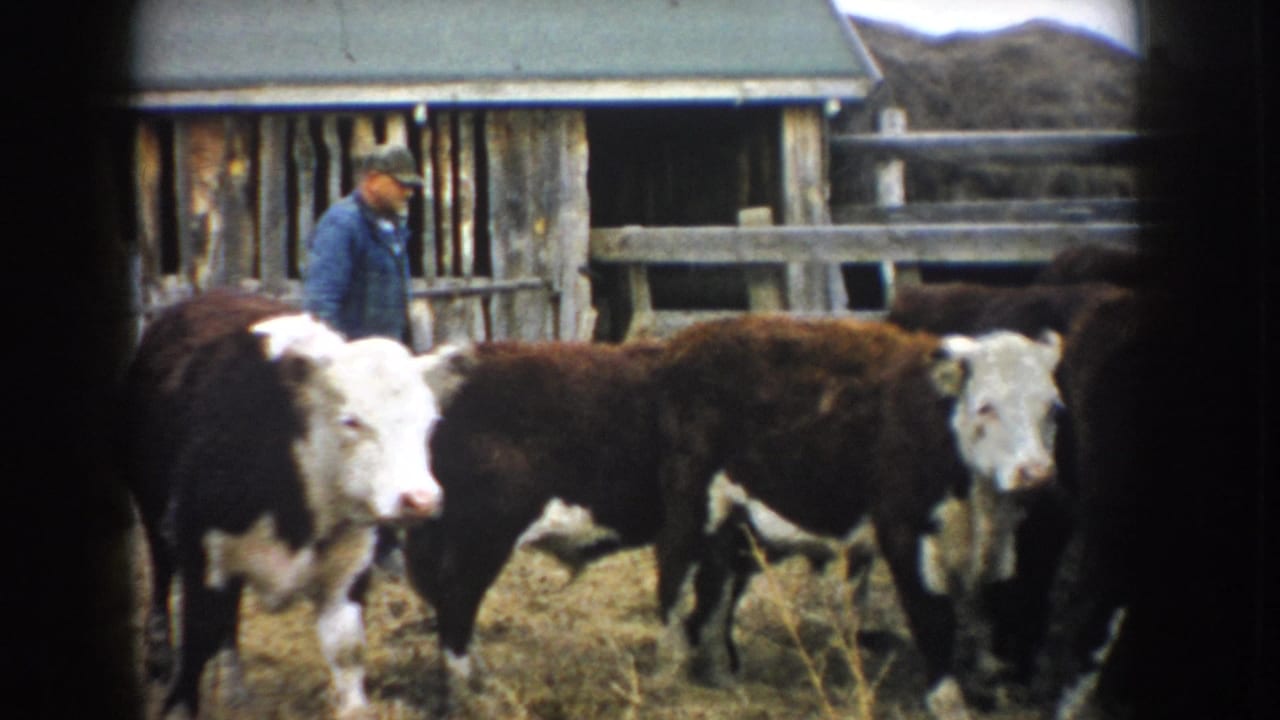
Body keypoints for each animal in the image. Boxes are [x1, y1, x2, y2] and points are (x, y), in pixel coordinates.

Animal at [122, 290, 457, 720]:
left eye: (431, 423)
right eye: (351, 421)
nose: (420, 499)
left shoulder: (349, 568)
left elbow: (346, 649)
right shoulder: (203, 558)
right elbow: (195, 648)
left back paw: (234, 688)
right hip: (153, 511)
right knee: (163, 577)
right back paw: (160, 657)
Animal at [650, 314, 1064, 720]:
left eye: (1053, 408)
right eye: (986, 407)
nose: (1036, 473)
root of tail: (689, 339)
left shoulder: (1002, 546)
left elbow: (991, 616)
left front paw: (989, 689)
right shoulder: (905, 533)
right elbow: (933, 617)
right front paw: (947, 701)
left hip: (740, 527)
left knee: (717, 591)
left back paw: (719, 672)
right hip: (691, 504)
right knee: (674, 575)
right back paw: (671, 667)